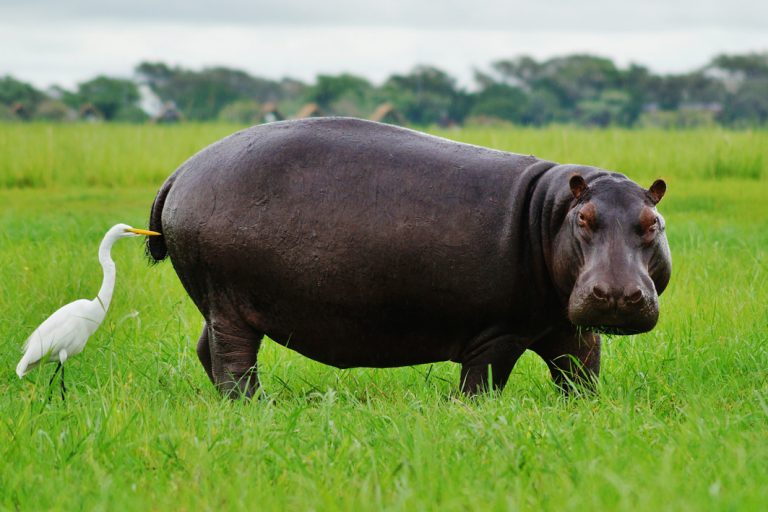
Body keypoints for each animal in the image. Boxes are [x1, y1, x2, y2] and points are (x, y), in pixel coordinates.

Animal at [146, 118, 672, 398]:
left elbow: (581, 372)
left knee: (207, 350)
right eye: (584, 219)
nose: (618, 294)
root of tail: (181, 170)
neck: (549, 213)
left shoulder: (564, 325)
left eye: (653, 222)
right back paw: (256, 408)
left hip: (217, 304)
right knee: (234, 363)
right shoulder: (497, 335)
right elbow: (481, 387)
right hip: (229, 304)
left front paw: (584, 412)